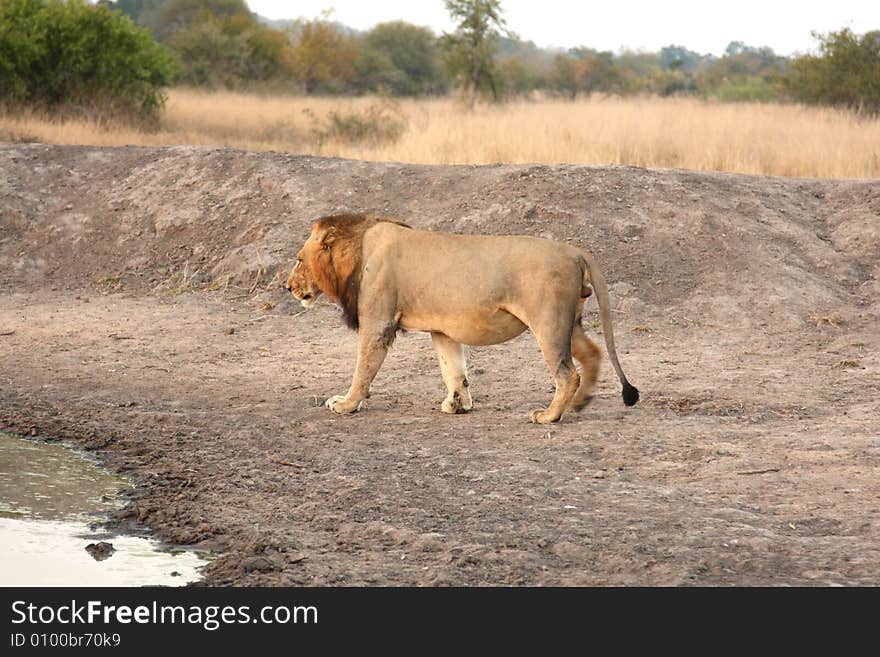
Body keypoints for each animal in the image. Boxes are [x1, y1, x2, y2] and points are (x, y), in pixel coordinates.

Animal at [288, 213, 640, 422]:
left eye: (299, 260)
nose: (287, 286)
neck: (358, 247)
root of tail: (574, 251)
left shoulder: (378, 323)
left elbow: (363, 370)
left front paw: (346, 404)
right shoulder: (441, 329)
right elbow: (453, 369)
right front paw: (458, 404)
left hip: (548, 322)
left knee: (567, 373)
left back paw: (549, 416)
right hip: (569, 322)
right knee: (592, 354)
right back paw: (580, 404)